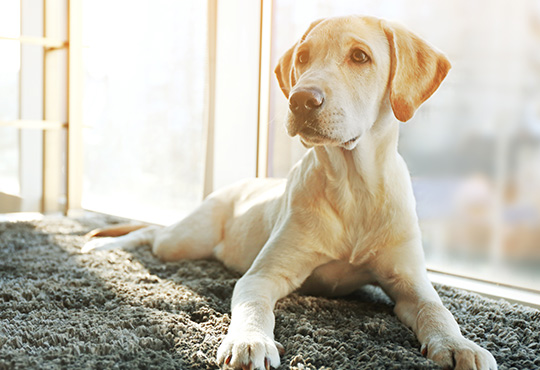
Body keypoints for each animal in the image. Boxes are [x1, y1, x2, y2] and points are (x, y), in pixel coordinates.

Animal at [85, 15, 498, 370]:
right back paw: (104, 244)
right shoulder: (262, 275)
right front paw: (249, 341)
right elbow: (254, 306)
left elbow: (437, 309)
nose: (301, 100)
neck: (353, 186)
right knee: (152, 233)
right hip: (184, 241)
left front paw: (459, 345)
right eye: (302, 58)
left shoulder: (410, 280)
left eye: (360, 56)